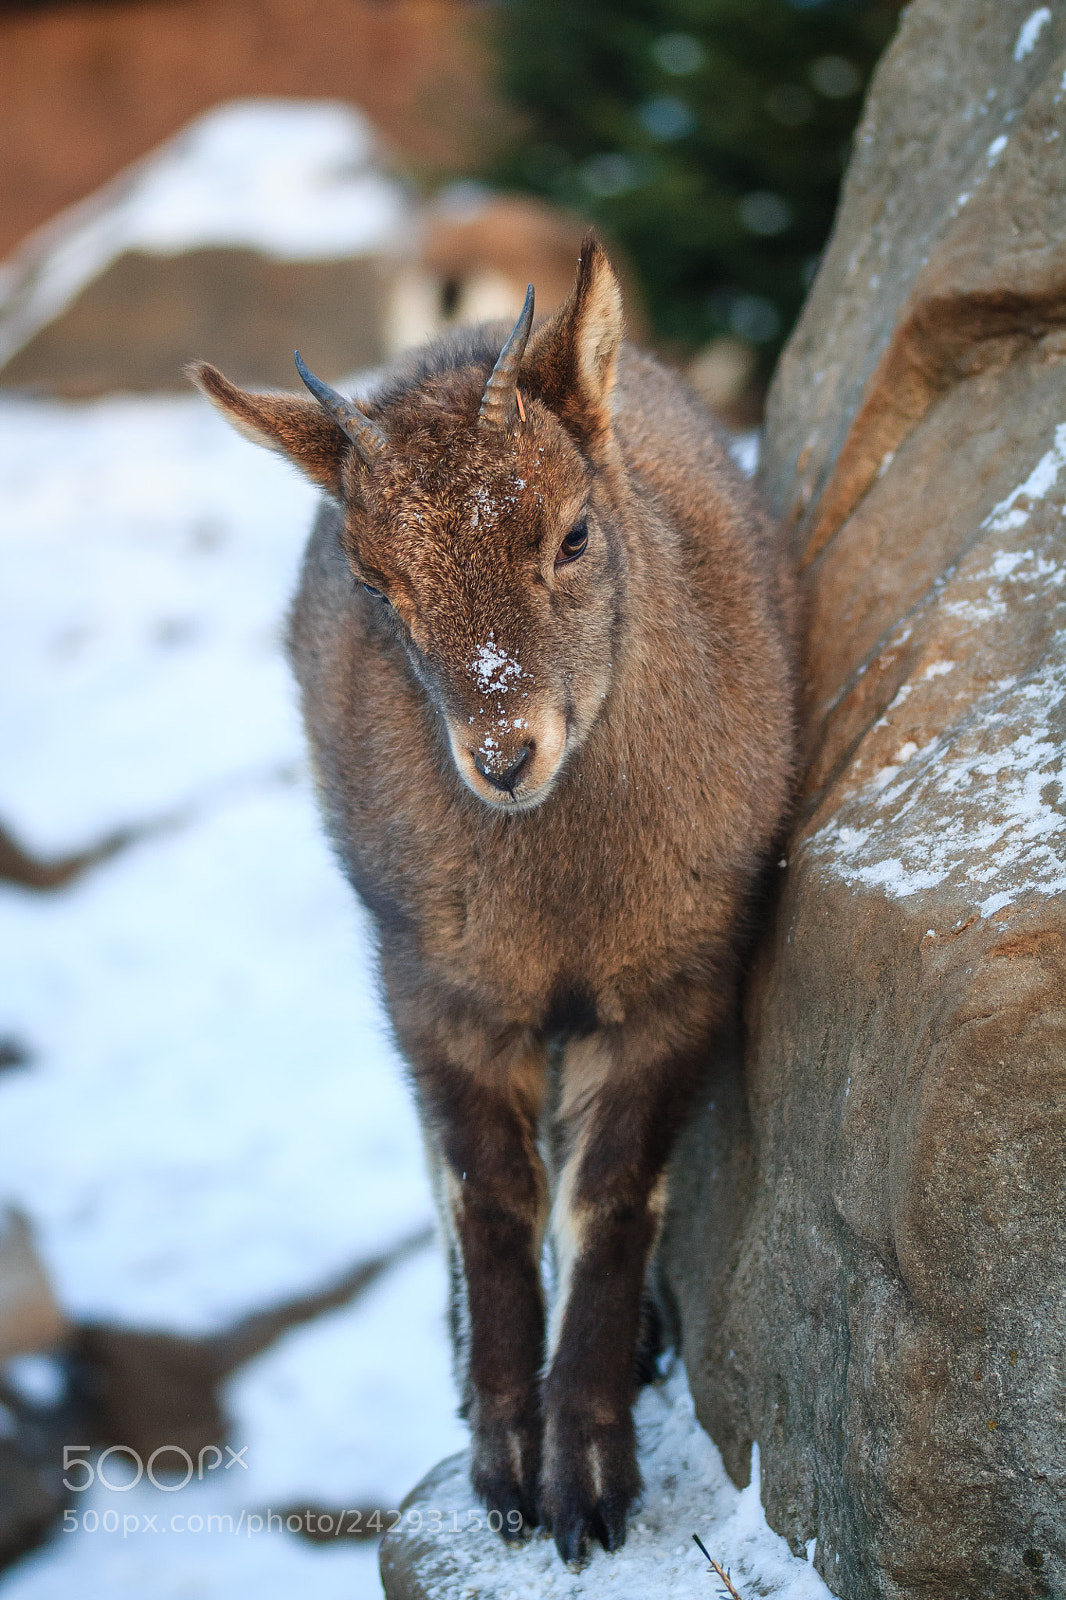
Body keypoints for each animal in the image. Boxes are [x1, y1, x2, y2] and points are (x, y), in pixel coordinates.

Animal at [190, 238, 796, 1565]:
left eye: (570, 534)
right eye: (375, 579)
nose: (504, 755)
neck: (564, 898)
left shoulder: (682, 979)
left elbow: (607, 1198)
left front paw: (593, 1478)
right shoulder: (436, 988)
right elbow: (487, 1195)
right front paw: (510, 1464)